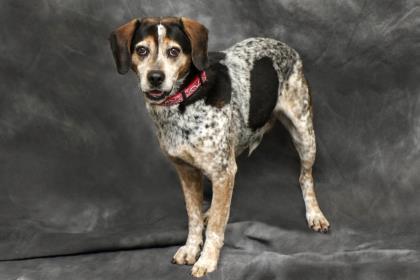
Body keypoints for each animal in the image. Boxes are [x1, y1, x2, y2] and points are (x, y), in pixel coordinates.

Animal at [109, 16, 332, 276]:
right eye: (141, 50)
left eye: (174, 51)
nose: (155, 77)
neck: (185, 102)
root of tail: (285, 46)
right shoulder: (187, 172)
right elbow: (194, 216)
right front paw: (191, 248)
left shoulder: (224, 172)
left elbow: (217, 225)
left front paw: (207, 260)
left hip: (304, 135)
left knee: (305, 178)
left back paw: (314, 214)